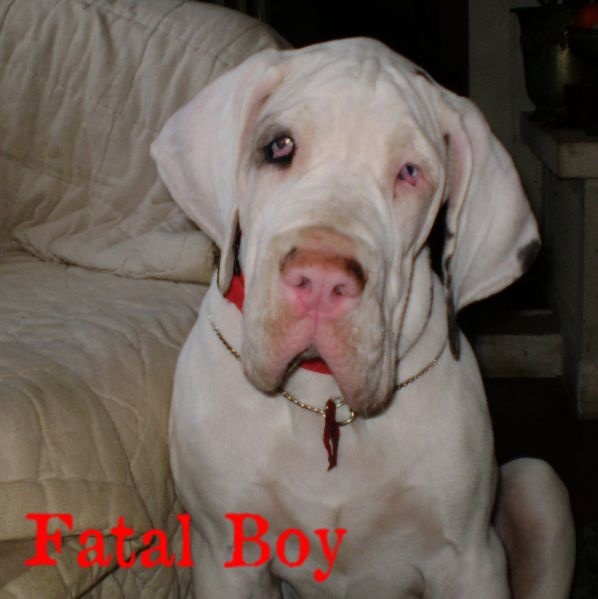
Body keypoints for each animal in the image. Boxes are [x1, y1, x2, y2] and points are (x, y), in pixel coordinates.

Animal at [152, 38, 575, 598]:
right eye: (278, 146)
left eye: (410, 171)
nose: (321, 281)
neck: (323, 401)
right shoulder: (227, 560)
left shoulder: (471, 561)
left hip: (538, 486)